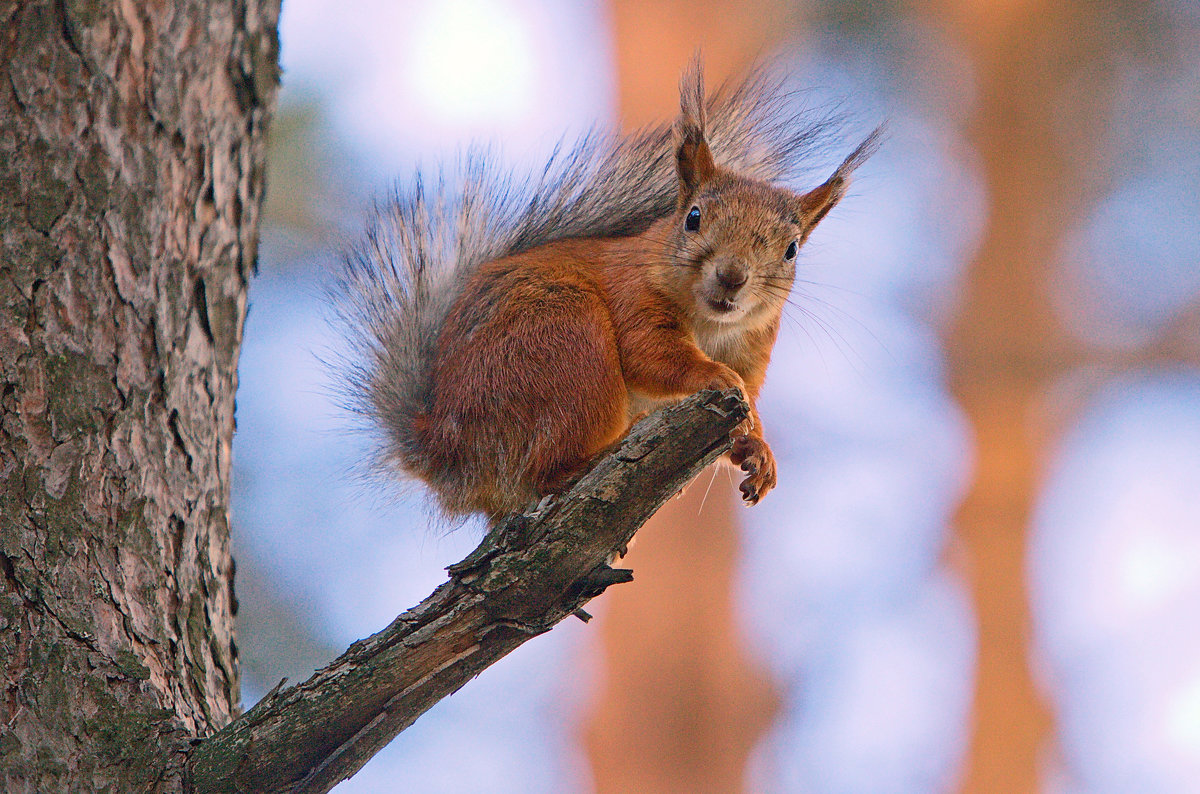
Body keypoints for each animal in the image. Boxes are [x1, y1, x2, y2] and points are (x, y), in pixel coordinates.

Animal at [338, 60, 883, 522]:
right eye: (693, 218)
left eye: (791, 250)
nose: (732, 276)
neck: (711, 325)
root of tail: (444, 451)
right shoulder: (631, 296)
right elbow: (653, 355)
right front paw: (714, 375)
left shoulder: (755, 351)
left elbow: (745, 406)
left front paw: (757, 448)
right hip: (567, 345)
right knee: (545, 470)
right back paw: (590, 464)